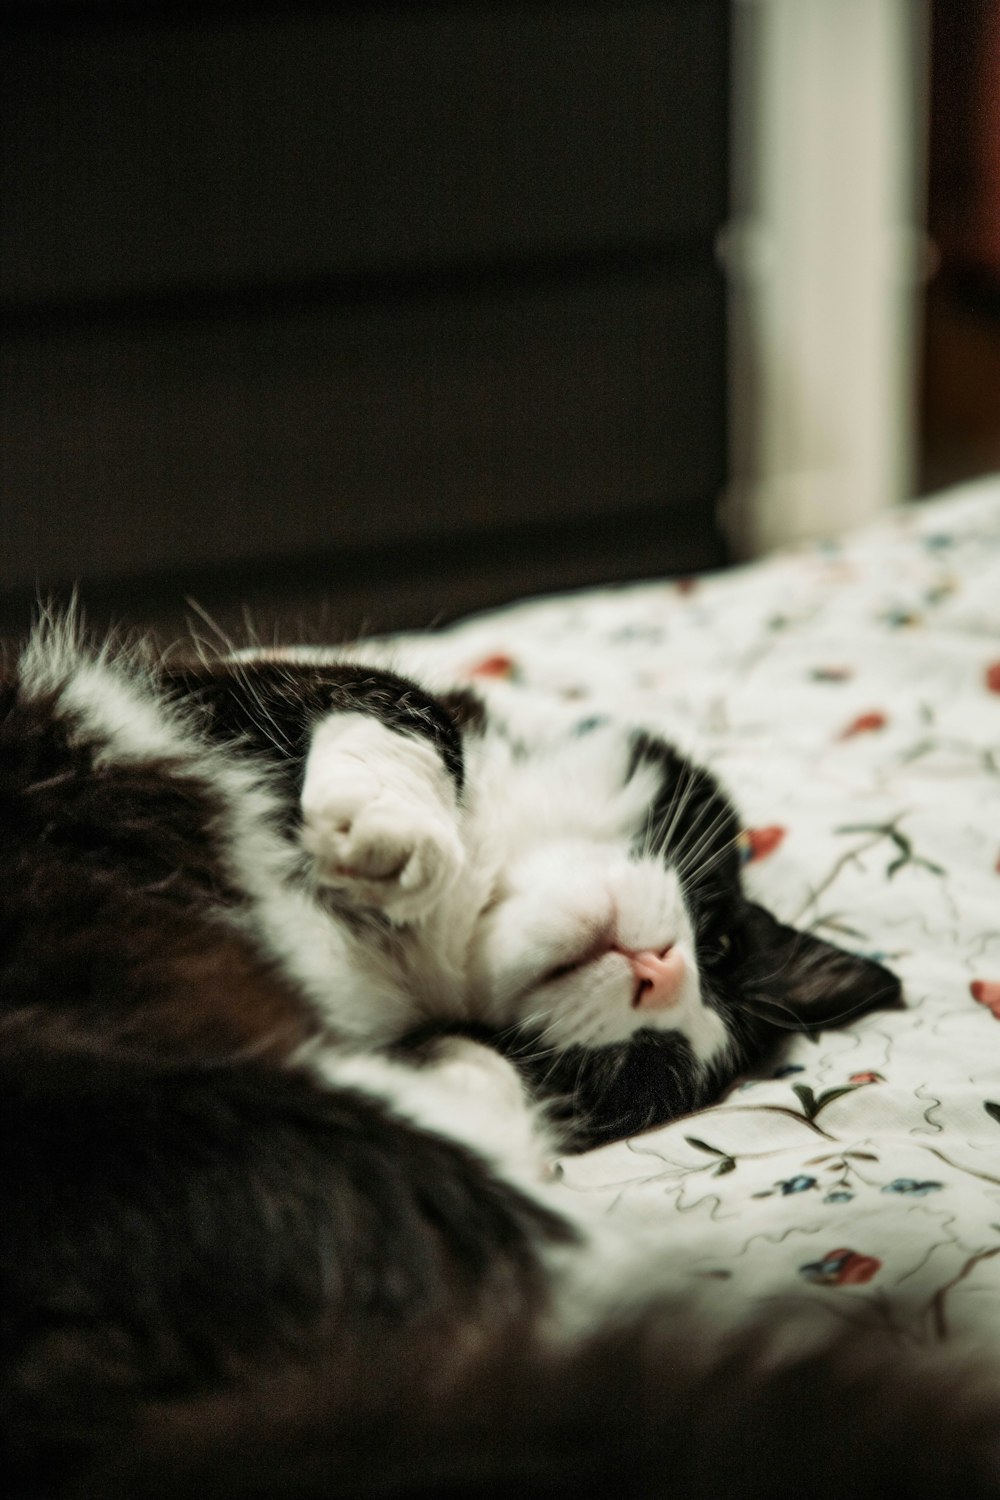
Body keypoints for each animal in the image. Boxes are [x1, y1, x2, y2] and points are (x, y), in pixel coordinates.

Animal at [7, 618, 989, 1500]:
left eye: (652, 1065)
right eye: (717, 945)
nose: (662, 975)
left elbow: (486, 1075)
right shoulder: (206, 684)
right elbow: (391, 700)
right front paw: (392, 838)